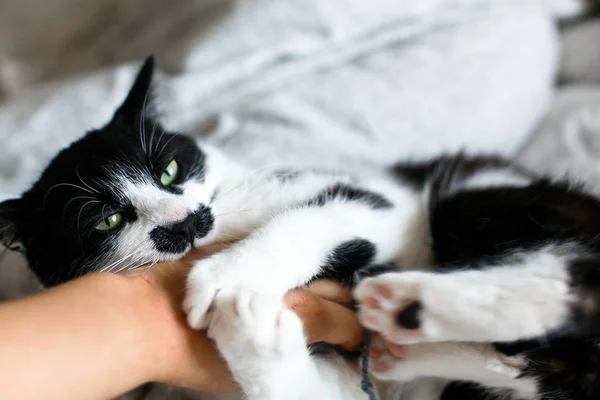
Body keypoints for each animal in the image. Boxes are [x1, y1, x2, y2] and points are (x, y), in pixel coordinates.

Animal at [1, 57, 600, 400]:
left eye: (168, 169)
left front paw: (229, 280)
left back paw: (410, 303)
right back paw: (407, 346)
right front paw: (259, 336)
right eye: (108, 219)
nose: (187, 223)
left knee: (574, 273)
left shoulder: (382, 201)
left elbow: (306, 218)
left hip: (474, 199)